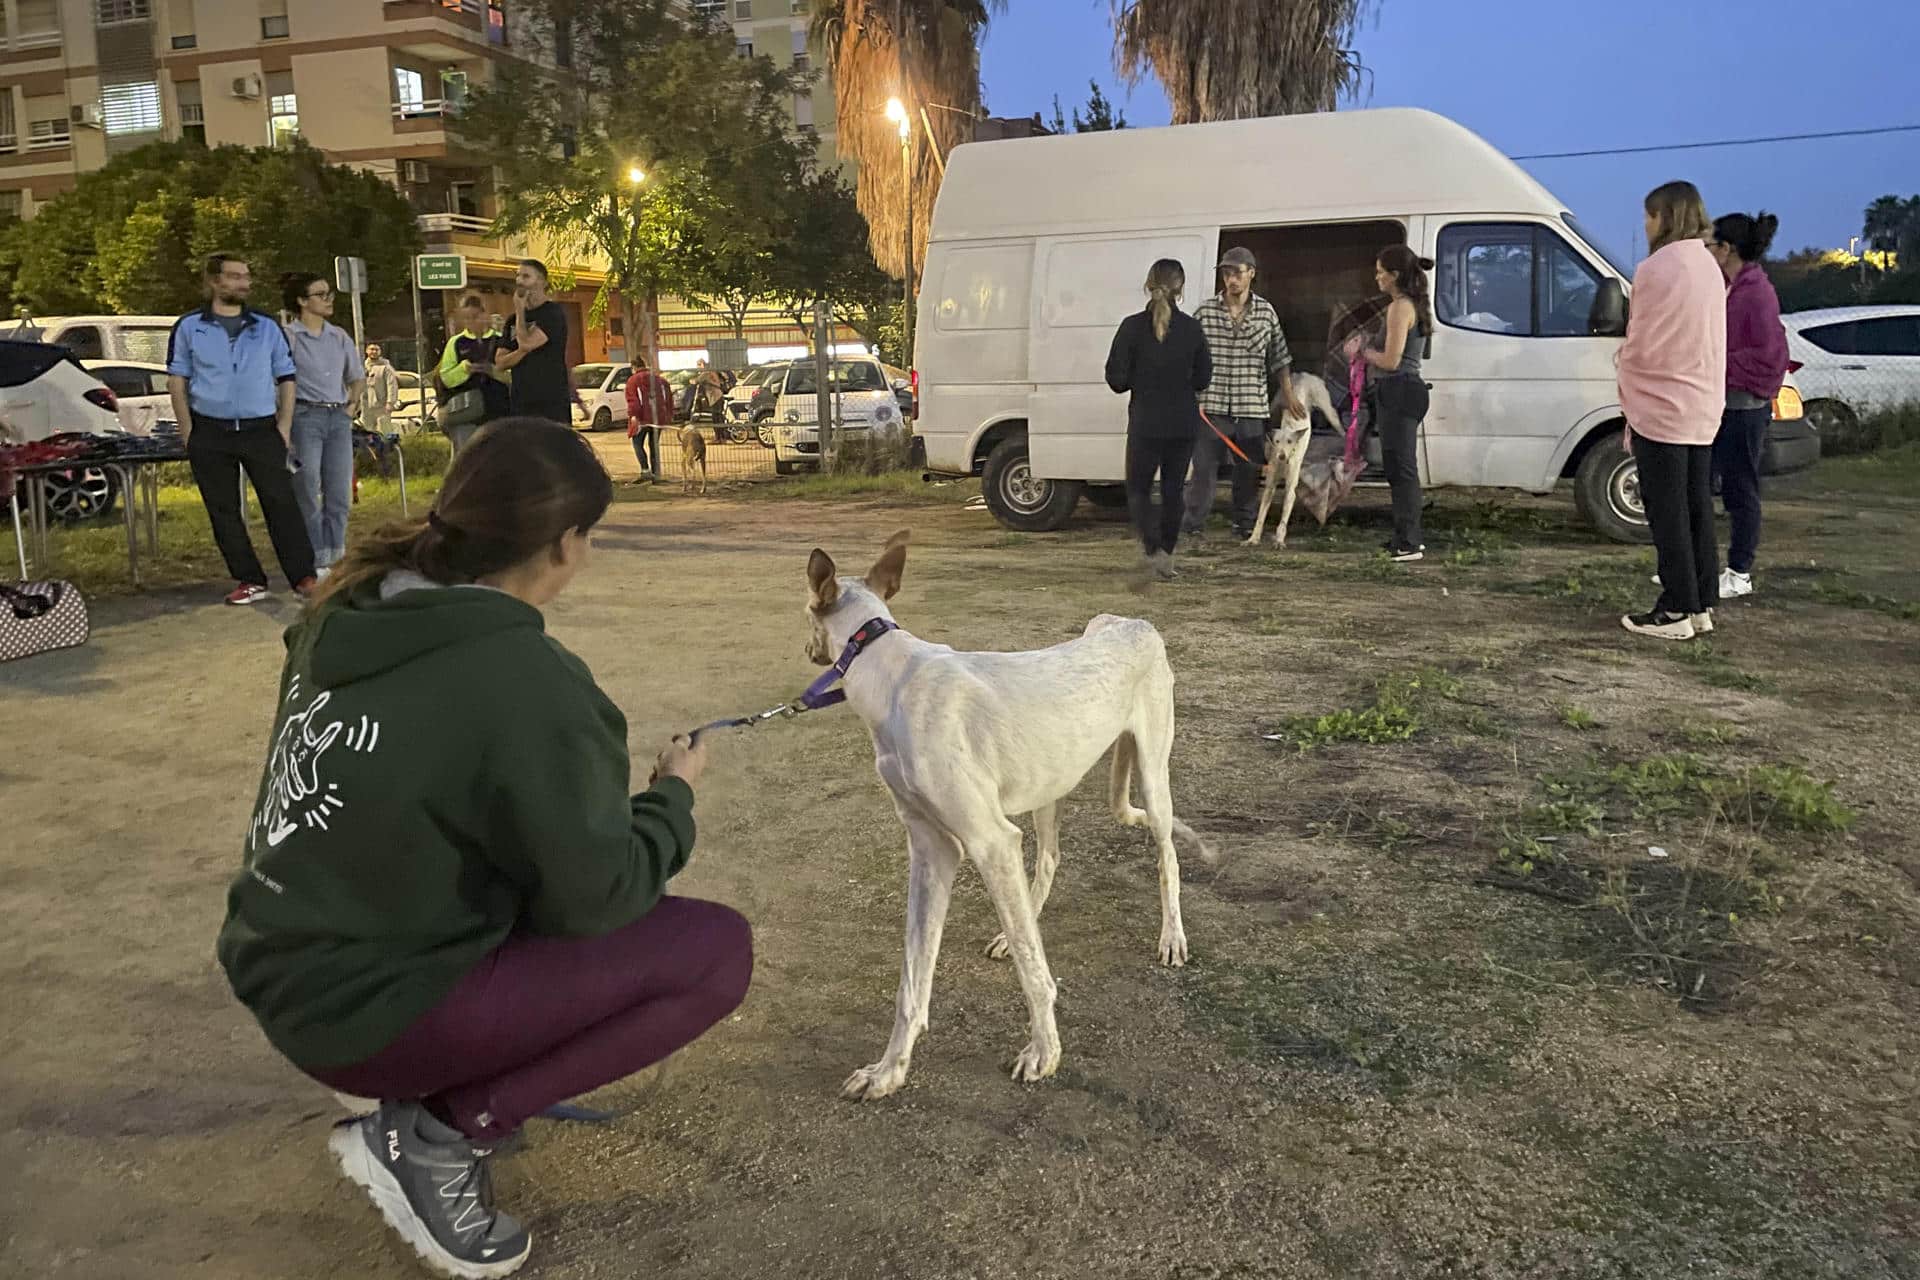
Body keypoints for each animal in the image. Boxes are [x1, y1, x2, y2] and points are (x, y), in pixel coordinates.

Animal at [806, 529, 1221, 1105]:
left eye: (804, 611)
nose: (808, 651)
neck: (888, 672)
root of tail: (1128, 621)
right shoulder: (932, 849)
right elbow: (913, 979)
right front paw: (889, 1069)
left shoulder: (990, 840)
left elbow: (1035, 973)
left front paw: (1044, 1053)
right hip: (1048, 787)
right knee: (1048, 860)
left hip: (1153, 780)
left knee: (1167, 860)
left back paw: (1172, 938)